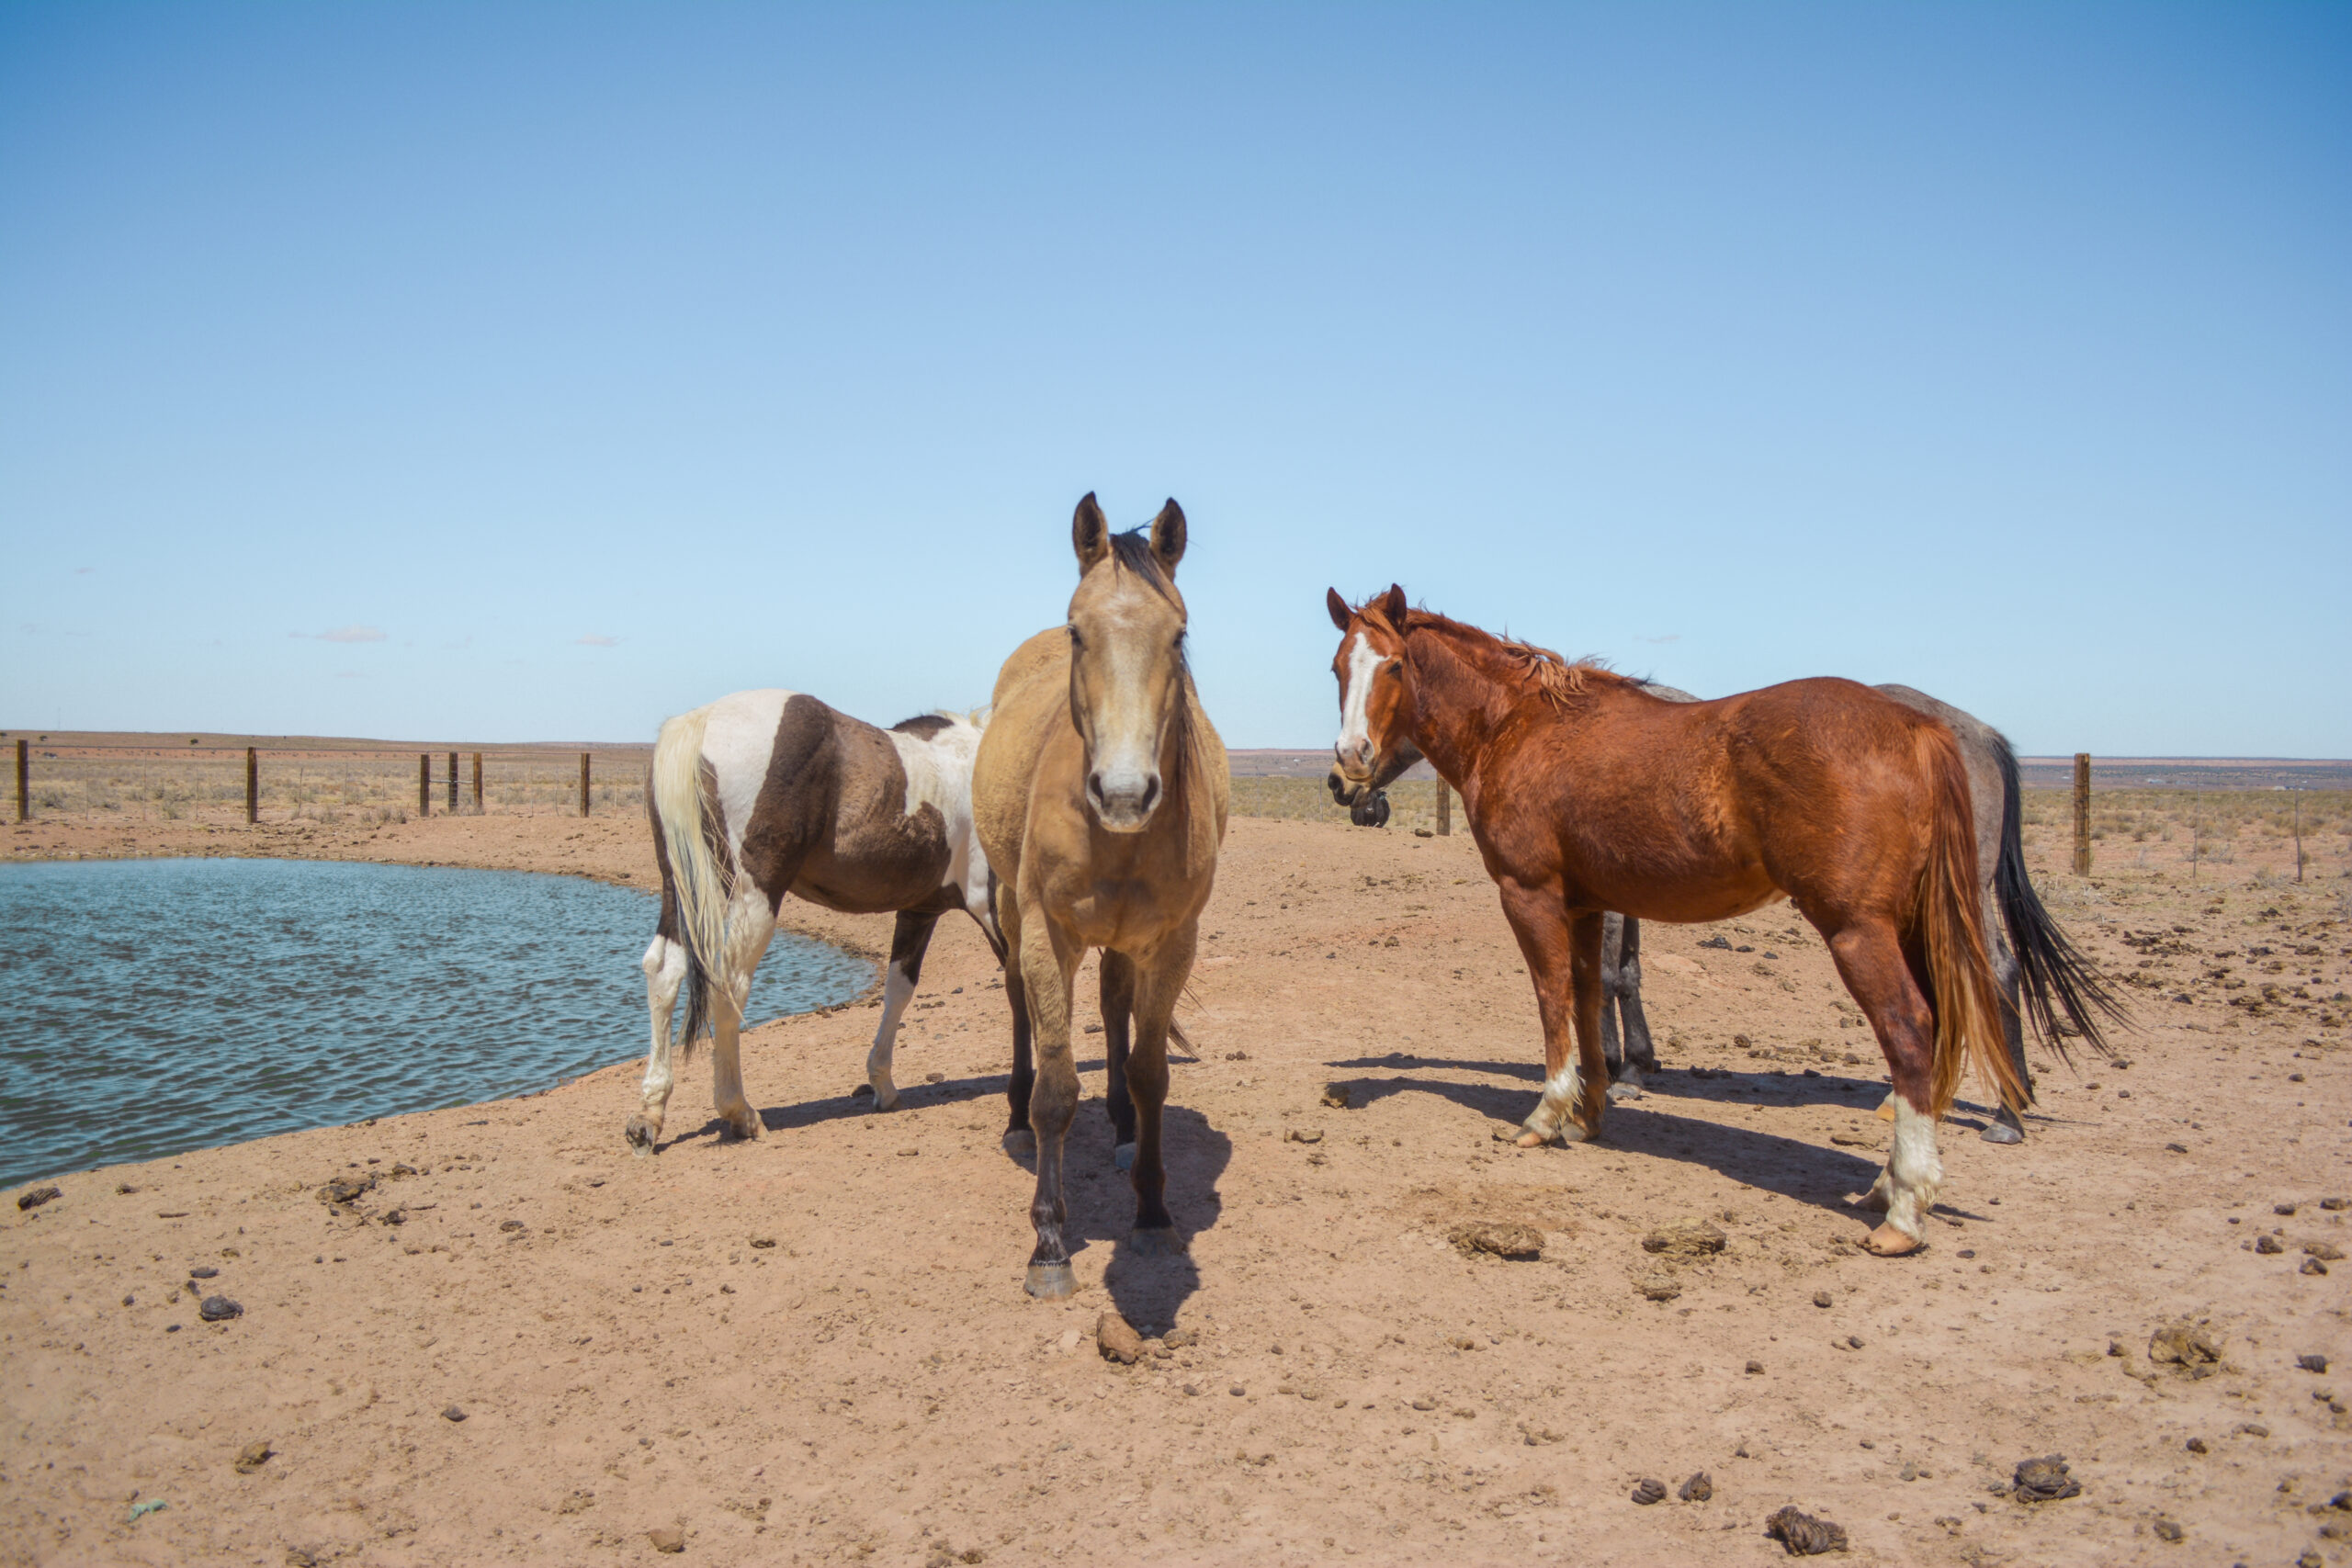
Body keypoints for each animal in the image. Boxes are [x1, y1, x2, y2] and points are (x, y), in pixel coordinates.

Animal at [627, 690, 1004, 1156]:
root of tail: (702, 721)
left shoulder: (919, 912)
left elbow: (899, 990)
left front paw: (883, 1085)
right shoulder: (992, 907)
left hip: (680, 889)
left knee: (663, 971)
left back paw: (649, 1115)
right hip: (752, 897)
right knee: (730, 986)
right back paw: (740, 1113)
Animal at [974, 495, 1228, 1299]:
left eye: (1178, 634)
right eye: (1077, 630)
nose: (1123, 792)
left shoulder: (1173, 940)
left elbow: (1150, 1072)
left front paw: (1150, 1209)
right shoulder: (1048, 933)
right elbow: (1058, 1087)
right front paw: (1050, 1241)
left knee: (1116, 1006)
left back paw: (1119, 1128)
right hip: (1013, 914)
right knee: (1019, 1004)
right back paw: (1015, 1115)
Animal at [1324, 584, 2072, 1255]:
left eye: (1394, 666)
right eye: (1337, 667)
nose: (1347, 768)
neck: (1522, 727)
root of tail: (1923, 729)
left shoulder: (1530, 894)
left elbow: (1552, 995)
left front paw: (1546, 1115)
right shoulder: (1587, 901)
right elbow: (1590, 994)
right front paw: (1591, 1112)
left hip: (1860, 929)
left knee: (1913, 1029)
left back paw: (1908, 1206)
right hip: (1915, 926)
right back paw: (1890, 1182)